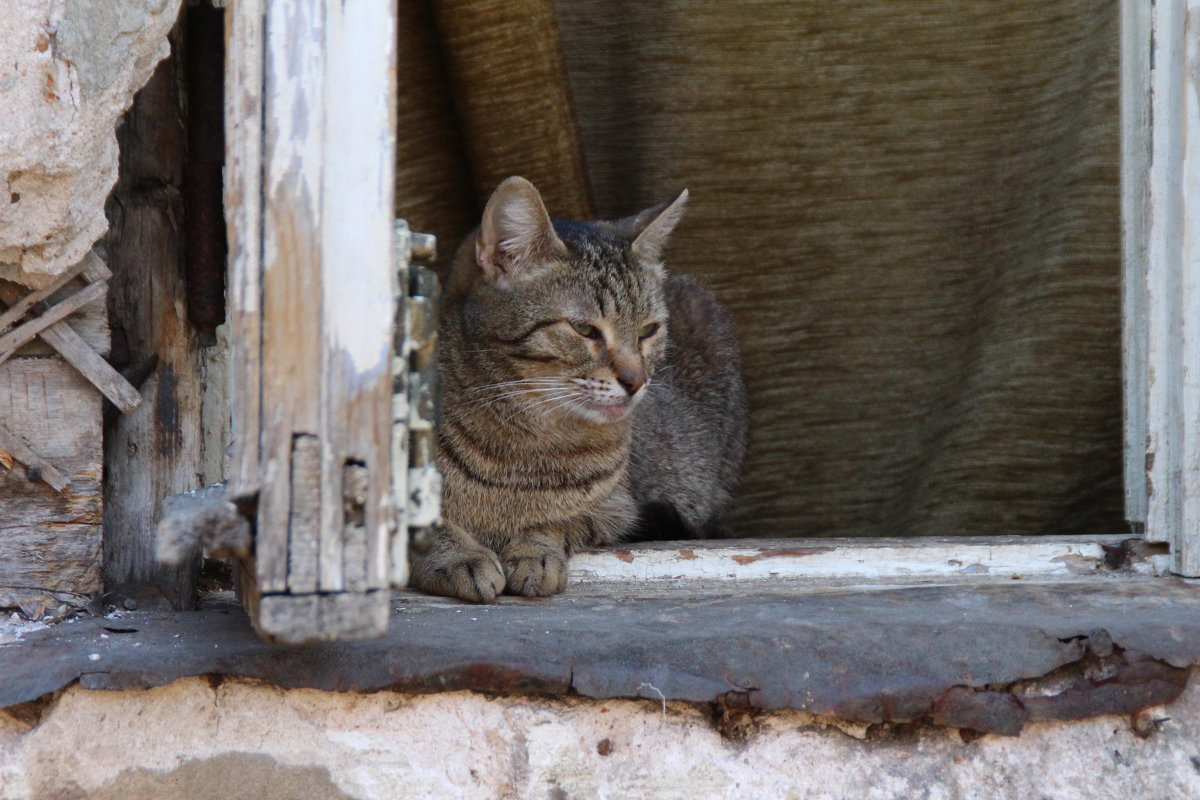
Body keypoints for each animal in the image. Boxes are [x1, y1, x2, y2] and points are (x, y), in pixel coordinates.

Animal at [412, 176, 748, 599]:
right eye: (584, 329)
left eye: (648, 330)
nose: (636, 380)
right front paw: (460, 556)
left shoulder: (617, 509)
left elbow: (557, 521)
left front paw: (536, 550)